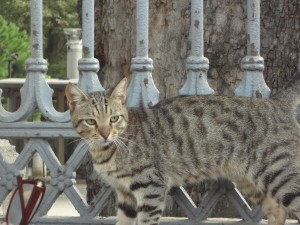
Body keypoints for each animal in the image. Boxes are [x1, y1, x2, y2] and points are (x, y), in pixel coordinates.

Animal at [66, 74, 300, 225]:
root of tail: (279, 103)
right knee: (278, 210)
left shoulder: (151, 189)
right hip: (251, 181)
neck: (106, 151)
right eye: (91, 121)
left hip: (280, 176)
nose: (105, 134)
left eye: (113, 119)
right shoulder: (125, 196)